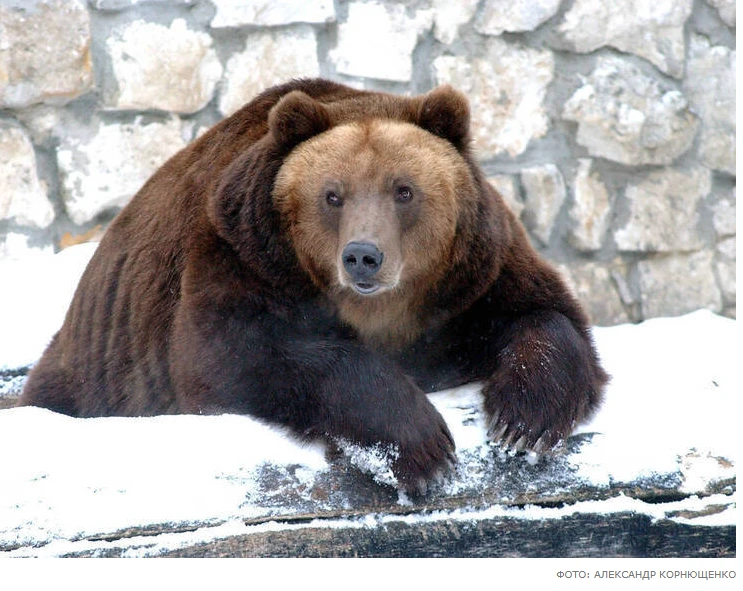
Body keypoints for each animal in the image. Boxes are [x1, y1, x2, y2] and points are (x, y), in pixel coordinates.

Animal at [18, 79, 608, 494]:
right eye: (332, 194)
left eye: (403, 190)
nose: (363, 256)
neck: (381, 311)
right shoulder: (242, 255)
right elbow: (241, 354)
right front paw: (421, 449)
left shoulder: (470, 278)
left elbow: (544, 314)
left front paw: (522, 422)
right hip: (98, 370)